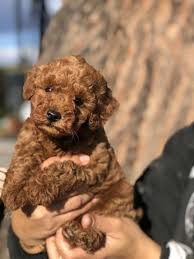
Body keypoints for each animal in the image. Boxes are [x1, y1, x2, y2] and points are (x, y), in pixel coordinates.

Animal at [2, 56, 140, 254]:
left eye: (79, 101)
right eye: (49, 88)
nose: (53, 115)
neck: (58, 140)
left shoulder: (94, 163)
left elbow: (65, 168)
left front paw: (37, 188)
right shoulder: (29, 137)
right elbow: (24, 158)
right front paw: (14, 191)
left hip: (116, 199)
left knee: (97, 224)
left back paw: (83, 234)